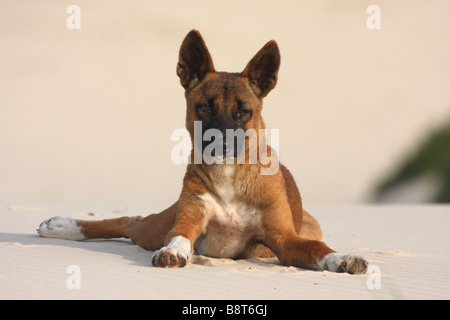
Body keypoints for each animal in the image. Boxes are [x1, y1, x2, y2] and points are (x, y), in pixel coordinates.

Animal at [37, 30, 370, 274]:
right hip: (153, 228)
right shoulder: (188, 219)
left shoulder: (285, 240)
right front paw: (173, 251)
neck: (230, 176)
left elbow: (317, 249)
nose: (221, 145)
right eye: (205, 107)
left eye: (244, 112)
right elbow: (180, 236)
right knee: (130, 221)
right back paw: (63, 226)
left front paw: (342, 258)